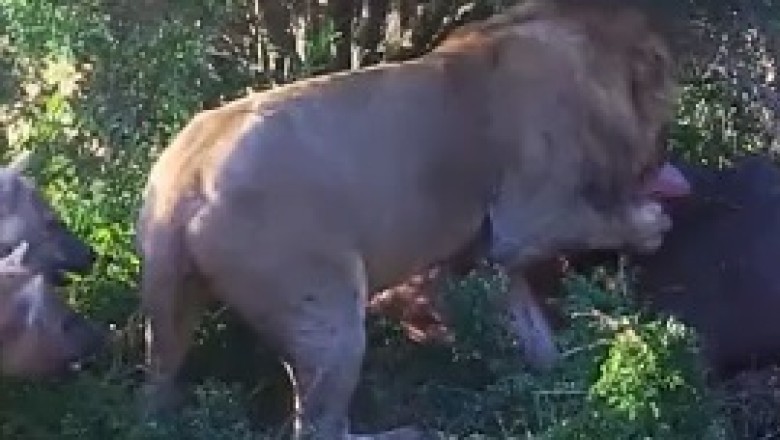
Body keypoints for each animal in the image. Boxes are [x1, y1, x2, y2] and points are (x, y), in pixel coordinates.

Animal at [136, 1, 688, 438]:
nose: (665, 155)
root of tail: (184, 180)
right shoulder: (526, 217)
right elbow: (599, 222)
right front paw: (653, 224)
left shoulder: (483, 251)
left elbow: (523, 315)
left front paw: (551, 372)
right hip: (328, 314)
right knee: (320, 428)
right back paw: (406, 433)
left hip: (172, 308)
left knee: (162, 377)